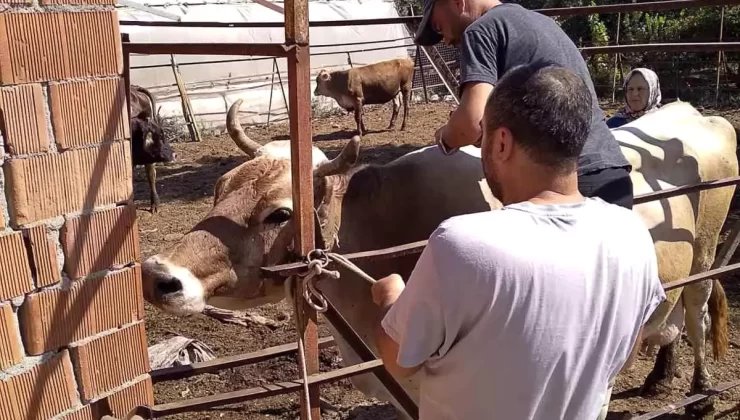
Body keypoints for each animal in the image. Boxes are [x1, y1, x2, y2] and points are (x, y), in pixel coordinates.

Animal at [143, 98, 736, 416]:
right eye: (220, 188)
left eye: (278, 213)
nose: (158, 276)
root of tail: (696, 112)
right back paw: (660, 375)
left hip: (706, 257)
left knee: (699, 312)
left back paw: (700, 391)